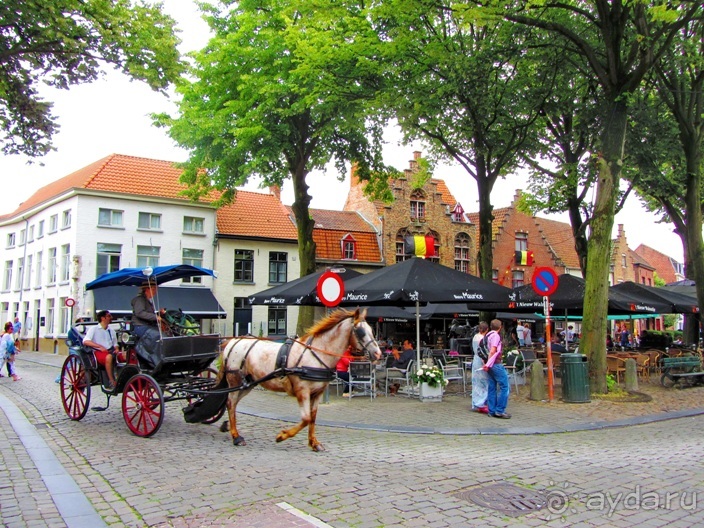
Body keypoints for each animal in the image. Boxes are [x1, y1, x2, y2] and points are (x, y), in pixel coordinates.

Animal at [217, 308, 380, 452]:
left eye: (372, 329)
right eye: (361, 332)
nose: (378, 354)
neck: (315, 354)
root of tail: (232, 342)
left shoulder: (317, 392)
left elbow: (313, 418)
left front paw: (314, 444)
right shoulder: (302, 391)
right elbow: (306, 419)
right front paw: (281, 436)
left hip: (248, 384)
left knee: (233, 404)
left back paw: (229, 428)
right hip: (235, 380)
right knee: (230, 403)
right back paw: (236, 437)